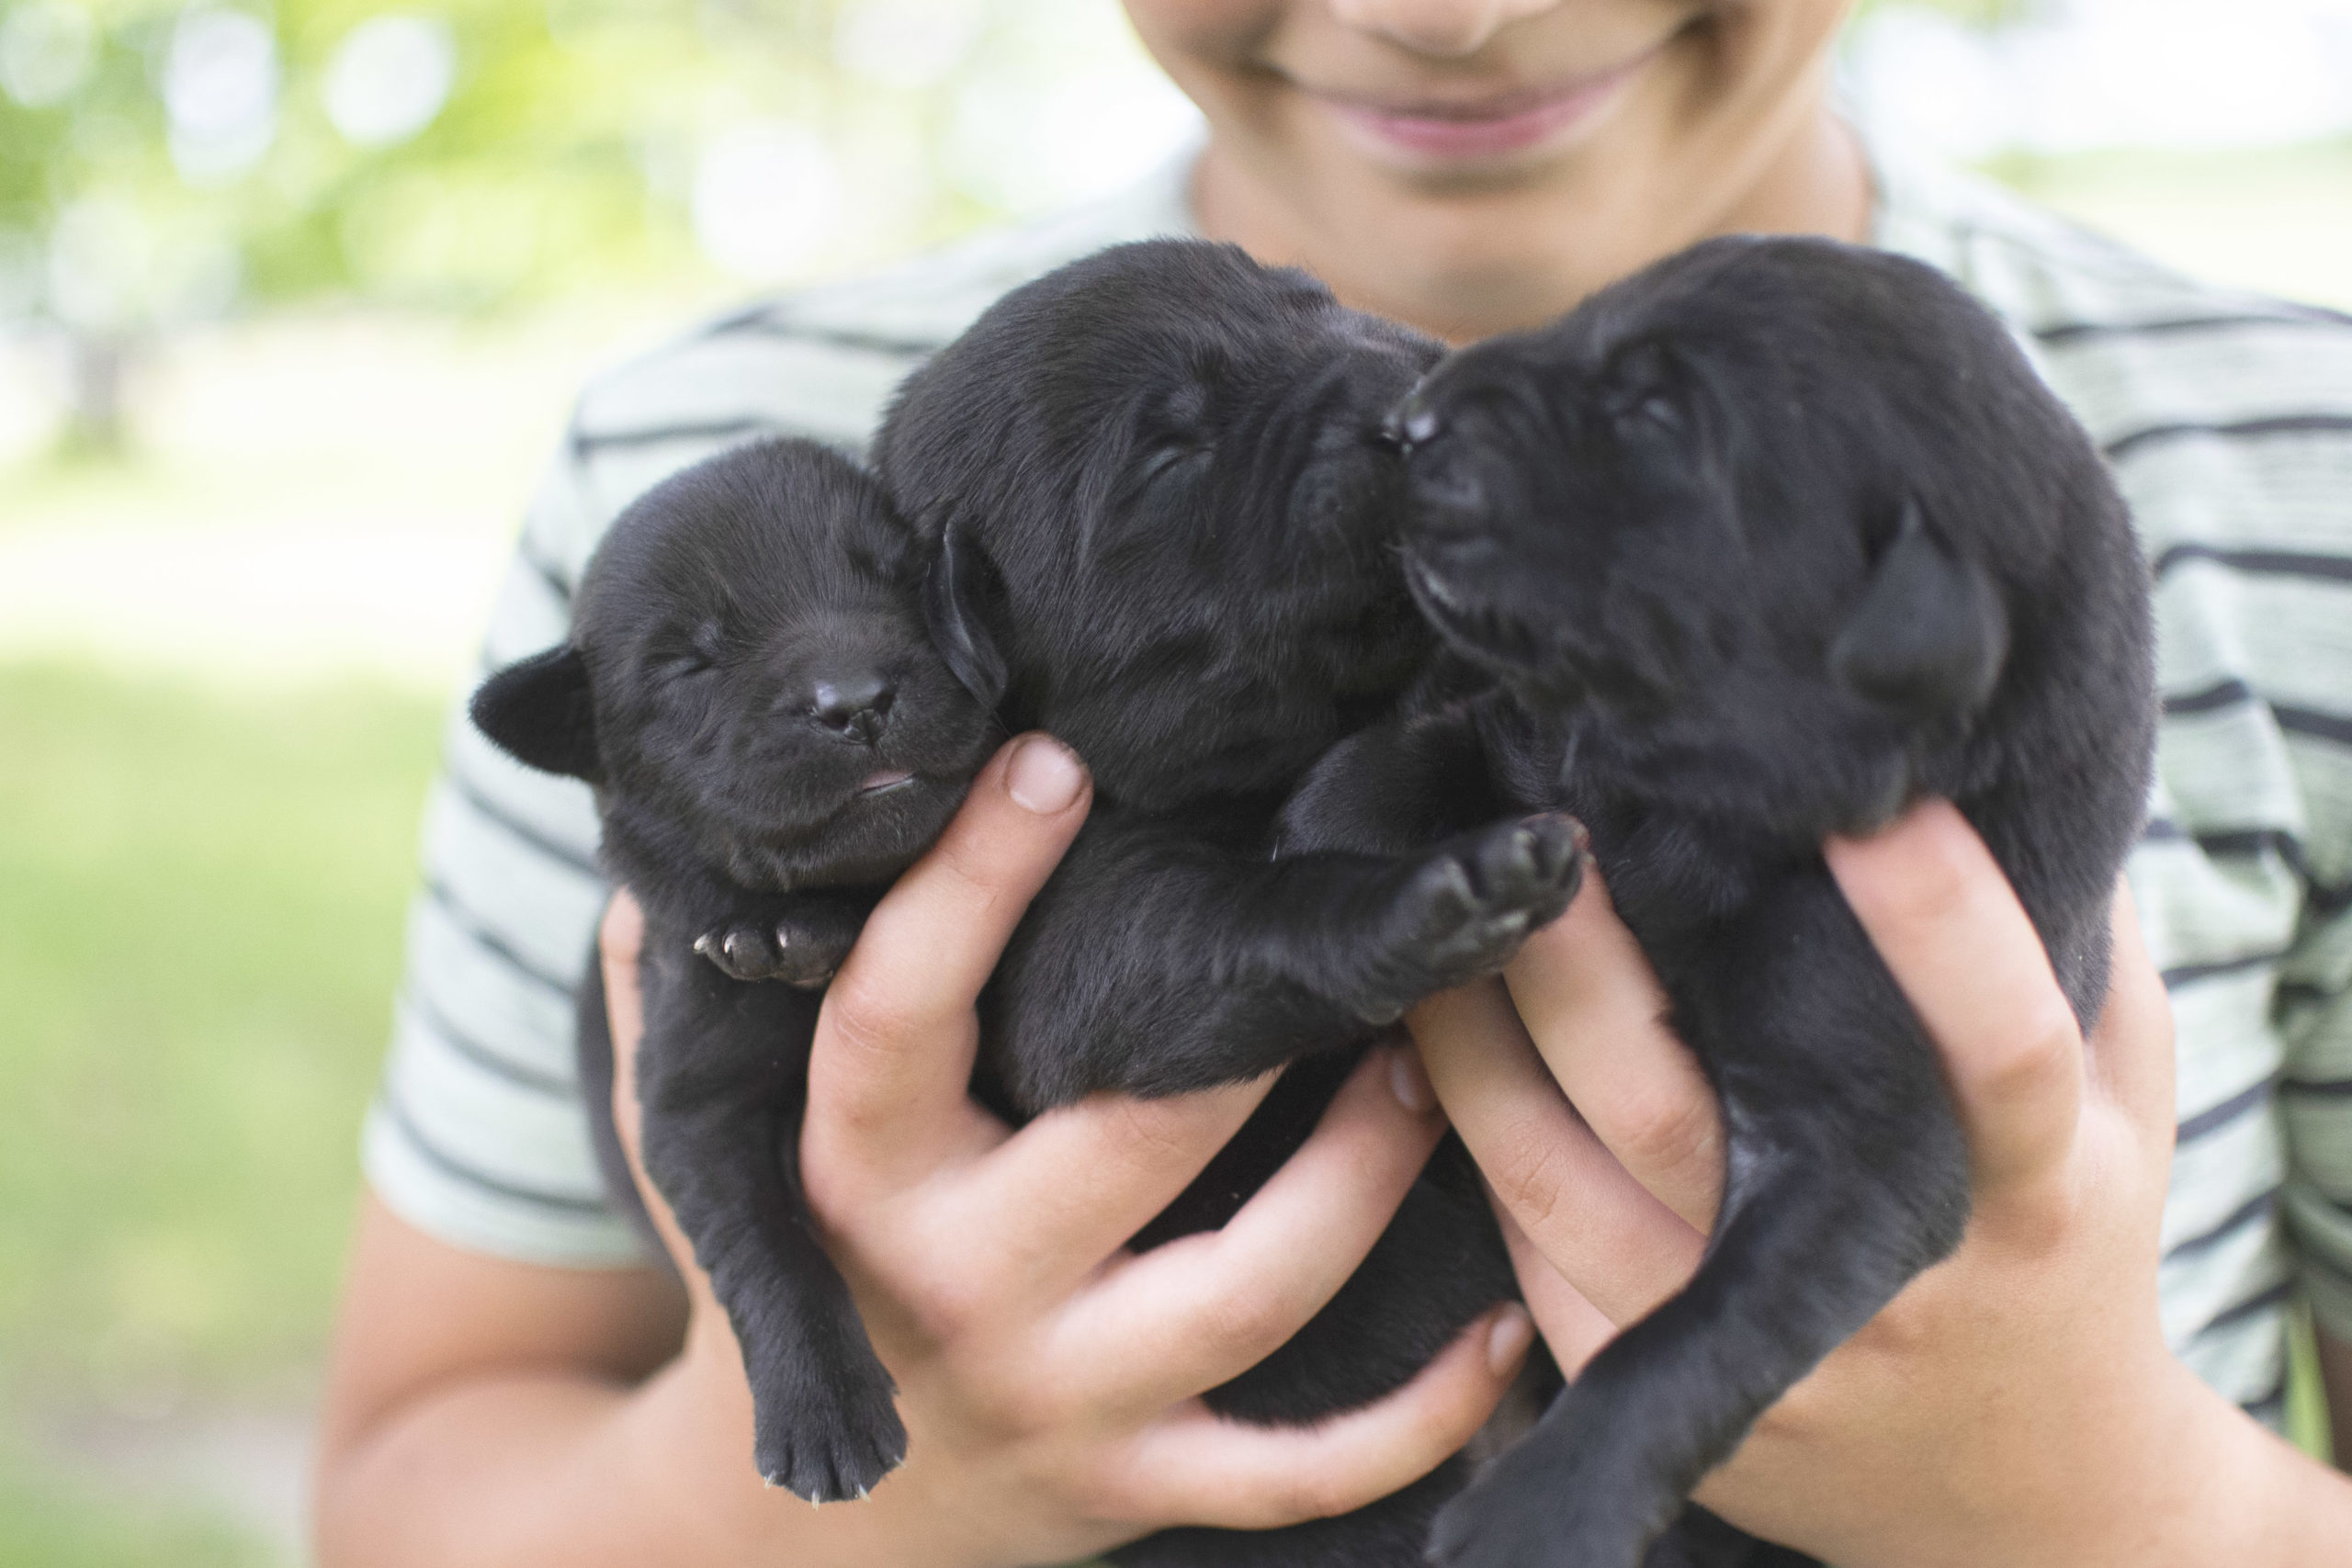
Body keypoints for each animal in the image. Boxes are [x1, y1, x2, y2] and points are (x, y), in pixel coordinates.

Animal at [472, 434, 997, 1504]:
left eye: (900, 578)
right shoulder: (692, 1098)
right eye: (689, 662)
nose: (856, 702)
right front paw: (823, 1406)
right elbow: (766, 1241)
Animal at [870, 236, 1580, 1568]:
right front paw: (1424, 894)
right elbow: (1236, 918)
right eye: (1168, 451)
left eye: (1309, 299)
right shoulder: (1075, 926)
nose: (1423, 400)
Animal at [1279, 232, 2154, 1568]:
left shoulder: (1857, 1131)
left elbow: (1700, 1330)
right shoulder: (1544, 749)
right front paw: (1351, 859)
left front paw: (1549, 1504)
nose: (1408, 420)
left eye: (1656, 414)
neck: (1687, 803)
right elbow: (1421, 755)